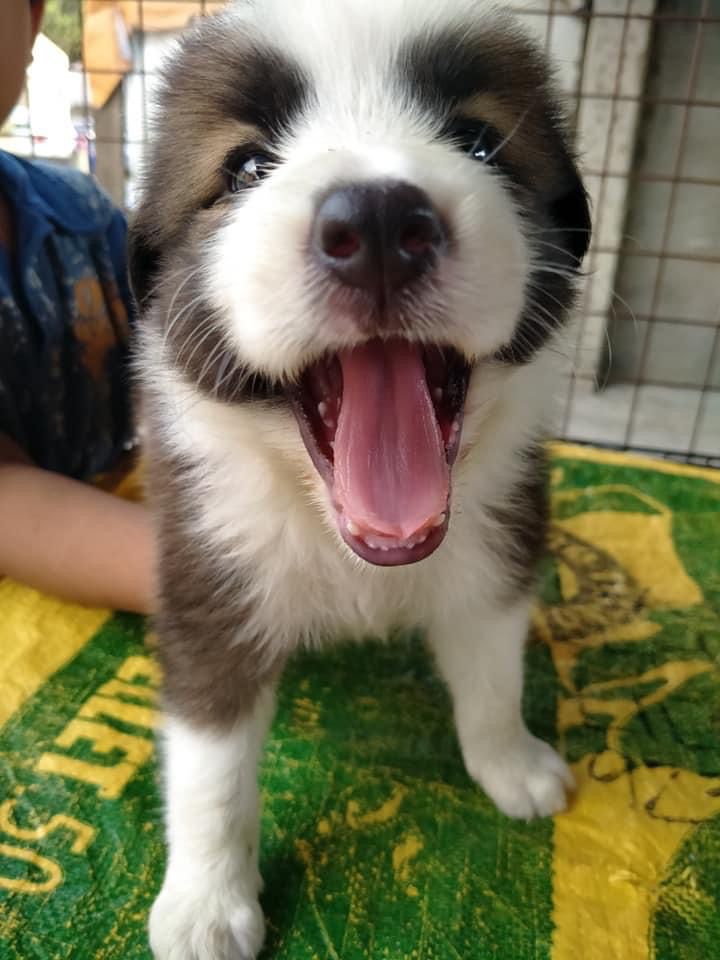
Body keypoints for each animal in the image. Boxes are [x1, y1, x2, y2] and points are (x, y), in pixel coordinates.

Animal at [129, 3, 592, 956]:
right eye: (246, 166)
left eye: (478, 141)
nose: (378, 222)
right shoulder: (206, 567)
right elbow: (210, 762)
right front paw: (205, 903)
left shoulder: (499, 538)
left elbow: (492, 672)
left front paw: (511, 764)